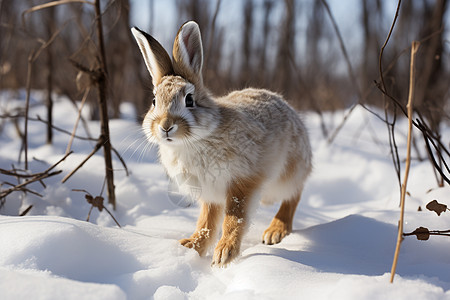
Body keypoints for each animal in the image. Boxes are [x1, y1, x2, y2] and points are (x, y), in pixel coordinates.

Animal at [132, 21, 312, 268]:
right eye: (153, 101)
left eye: (189, 100)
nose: (166, 126)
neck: (194, 141)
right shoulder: (210, 194)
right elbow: (206, 222)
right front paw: (191, 246)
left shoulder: (242, 182)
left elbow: (234, 218)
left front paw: (224, 254)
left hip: (284, 177)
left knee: (294, 194)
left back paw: (275, 230)